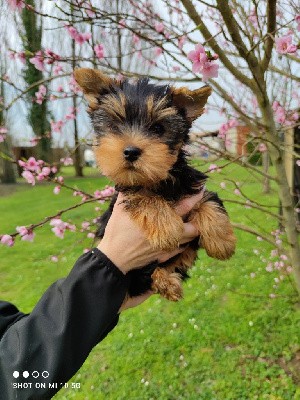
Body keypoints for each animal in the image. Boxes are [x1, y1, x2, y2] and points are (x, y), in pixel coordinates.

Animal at [74, 68, 236, 300]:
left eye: (159, 128)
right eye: (114, 126)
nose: (131, 151)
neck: (158, 180)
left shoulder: (192, 185)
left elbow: (209, 201)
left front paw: (222, 242)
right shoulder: (126, 193)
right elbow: (143, 196)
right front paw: (167, 227)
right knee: (141, 278)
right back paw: (164, 281)